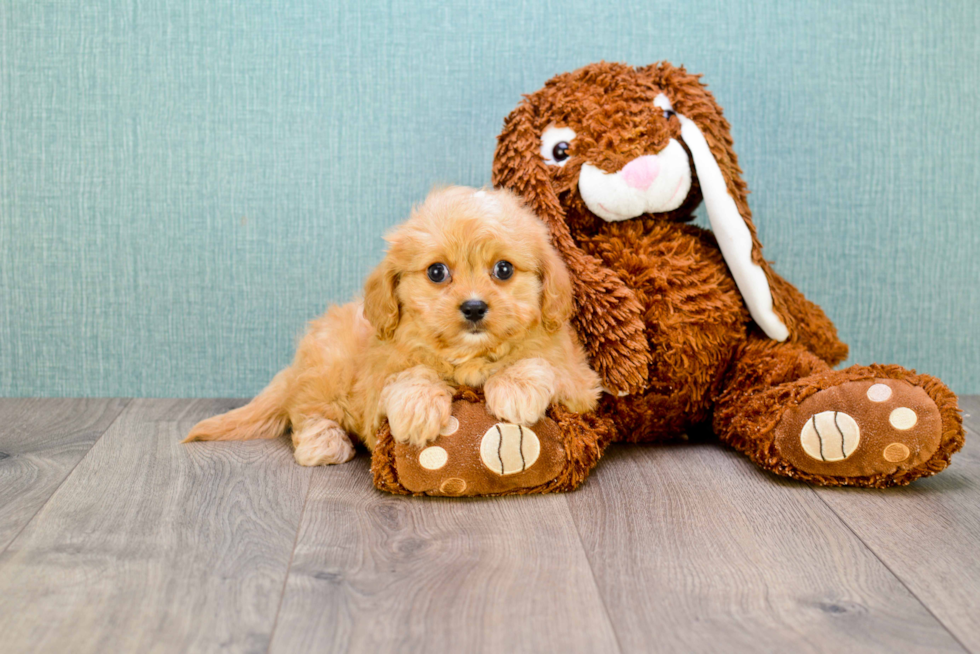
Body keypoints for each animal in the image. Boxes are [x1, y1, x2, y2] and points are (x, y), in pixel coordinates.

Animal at [180, 187, 600, 468]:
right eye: (437, 272)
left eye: (504, 270)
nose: (474, 307)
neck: (468, 355)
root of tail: (295, 368)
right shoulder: (375, 382)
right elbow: (409, 374)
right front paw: (419, 406)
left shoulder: (580, 380)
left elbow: (543, 363)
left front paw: (516, 387)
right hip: (329, 366)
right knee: (307, 409)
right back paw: (324, 443)